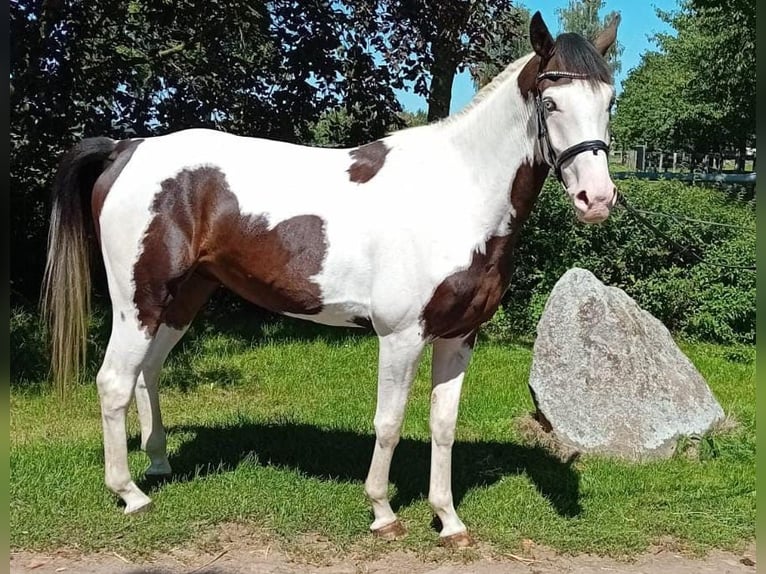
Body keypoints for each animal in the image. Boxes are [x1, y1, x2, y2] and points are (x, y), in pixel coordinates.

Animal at [42, 12, 619, 546]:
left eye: (609, 101)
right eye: (551, 104)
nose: (597, 199)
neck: (455, 192)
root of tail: (128, 148)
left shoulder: (459, 336)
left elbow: (443, 425)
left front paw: (449, 520)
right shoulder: (401, 336)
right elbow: (388, 423)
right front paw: (383, 512)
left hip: (180, 300)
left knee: (148, 372)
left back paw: (158, 464)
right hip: (138, 301)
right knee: (114, 382)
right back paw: (130, 494)